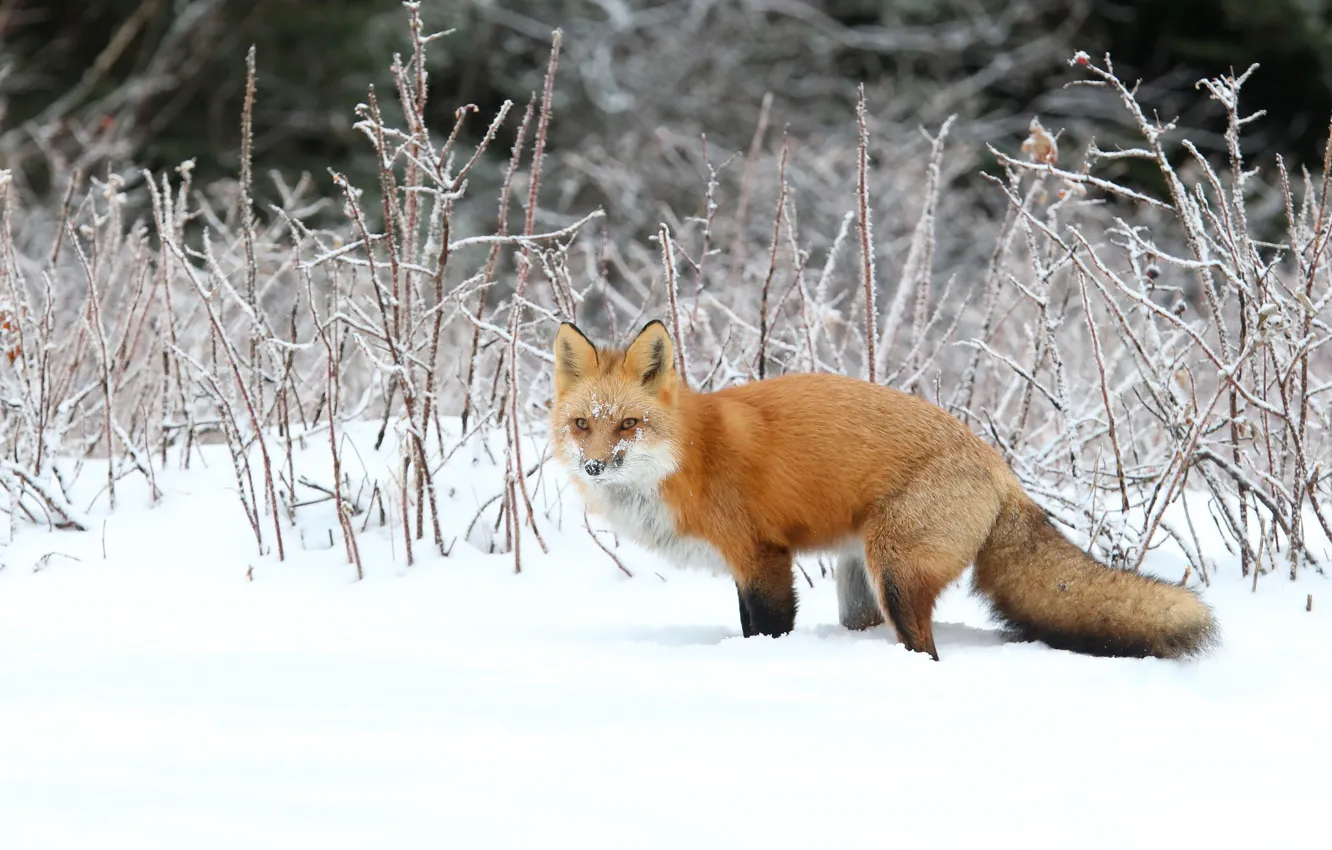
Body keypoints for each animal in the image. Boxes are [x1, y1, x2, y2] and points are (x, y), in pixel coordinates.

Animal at [549, 319, 1218, 661]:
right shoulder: (748, 568)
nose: (595, 467)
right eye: (582, 425)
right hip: (860, 584)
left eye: (628, 424)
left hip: (895, 571)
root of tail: (998, 464)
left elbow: (766, 631)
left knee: (925, 651)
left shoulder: (763, 558)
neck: (688, 459)